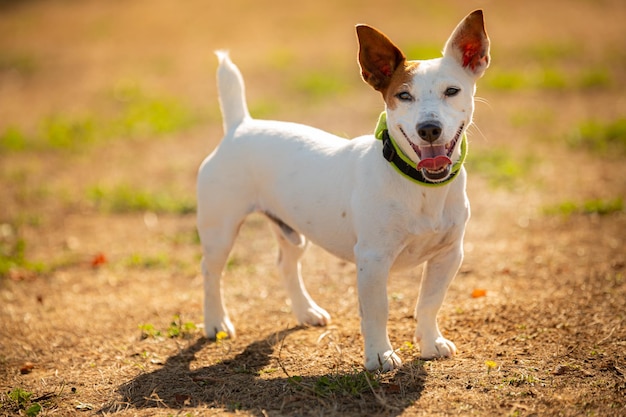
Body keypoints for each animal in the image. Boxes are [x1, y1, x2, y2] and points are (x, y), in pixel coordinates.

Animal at [197, 9, 490, 368]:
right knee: (211, 273)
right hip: (220, 231)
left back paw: (306, 311)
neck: (420, 185)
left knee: (286, 264)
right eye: (403, 96)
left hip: (293, 231)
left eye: (452, 90)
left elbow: (429, 302)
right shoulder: (373, 259)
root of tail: (240, 125)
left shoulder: (449, 255)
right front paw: (380, 356)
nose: (429, 128)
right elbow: (377, 311)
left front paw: (431, 342)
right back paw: (216, 322)